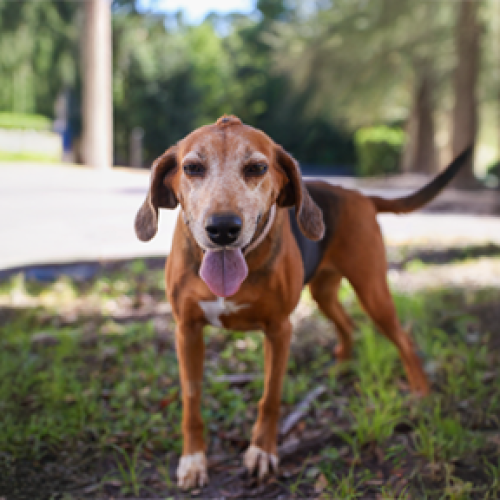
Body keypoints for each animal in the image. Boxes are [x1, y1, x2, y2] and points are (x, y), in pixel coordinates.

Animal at [135, 116, 470, 488]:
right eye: (192, 167)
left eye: (257, 168)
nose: (223, 229)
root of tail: (359, 195)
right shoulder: (187, 330)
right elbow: (192, 401)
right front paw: (193, 461)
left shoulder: (279, 330)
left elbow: (270, 398)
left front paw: (262, 452)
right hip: (324, 294)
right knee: (348, 325)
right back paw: (341, 367)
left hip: (373, 292)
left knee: (403, 339)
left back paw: (421, 392)